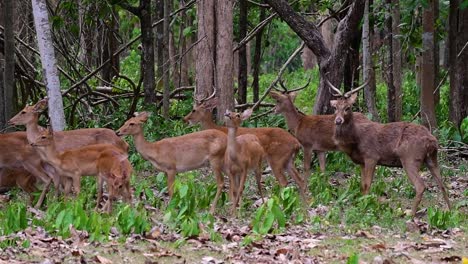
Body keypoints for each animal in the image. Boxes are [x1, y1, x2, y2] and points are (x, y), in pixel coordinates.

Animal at [328, 79, 452, 216]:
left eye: (348, 107)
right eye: (335, 107)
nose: (338, 121)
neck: (355, 139)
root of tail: (432, 140)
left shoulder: (372, 156)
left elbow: (367, 184)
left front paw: (366, 207)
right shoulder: (362, 161)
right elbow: (362, 185)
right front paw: (361, 203)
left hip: (410, 158)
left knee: (421, 186)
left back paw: (411, 213)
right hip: (432, 158)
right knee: (442, 185)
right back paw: (450, 210)